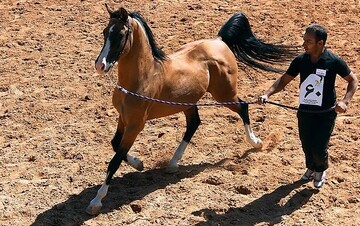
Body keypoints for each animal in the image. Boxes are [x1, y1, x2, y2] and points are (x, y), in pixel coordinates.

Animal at [86, 4, 296, 215]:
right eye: (105, 32)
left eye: (120, 35)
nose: (100, 65)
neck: (142, 78)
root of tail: (219, 41)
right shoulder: (123, 118)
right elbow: (115, 145)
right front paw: (139, 163)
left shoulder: (135, 125)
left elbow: (115, 159)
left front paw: (96, 202)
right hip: (189, 102)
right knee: (194, 123)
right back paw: (173, 164)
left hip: (224, 95)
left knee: (243, 108)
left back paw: (256, 143)